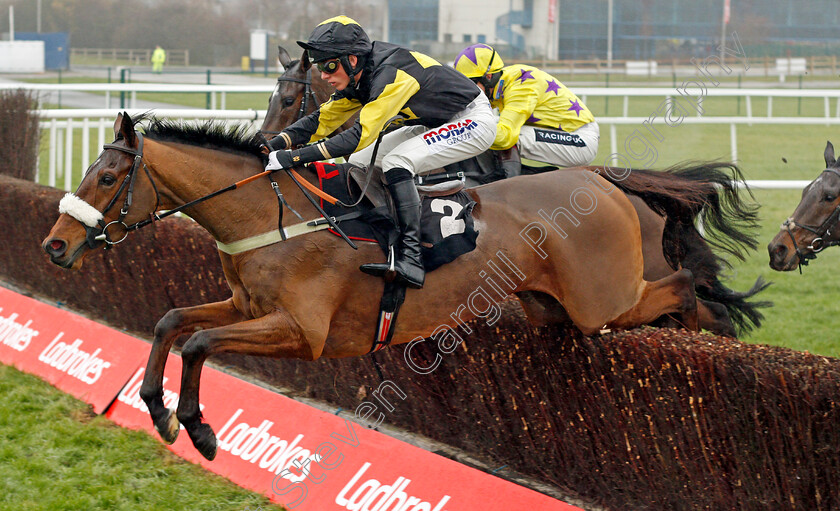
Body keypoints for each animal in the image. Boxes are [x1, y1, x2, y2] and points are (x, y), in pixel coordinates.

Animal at [46, 114, 704, 462]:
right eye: (91, 171)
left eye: (107, 176)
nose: (54, 245)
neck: (272, 218)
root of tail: (603, 180)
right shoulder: (244, 306)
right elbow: (171, 322)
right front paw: (157, 410)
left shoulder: (303, 333)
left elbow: (200, 342)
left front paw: (200, 429)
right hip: (551, 308)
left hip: (602, 302)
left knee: (682, 284)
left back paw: (698, 334)